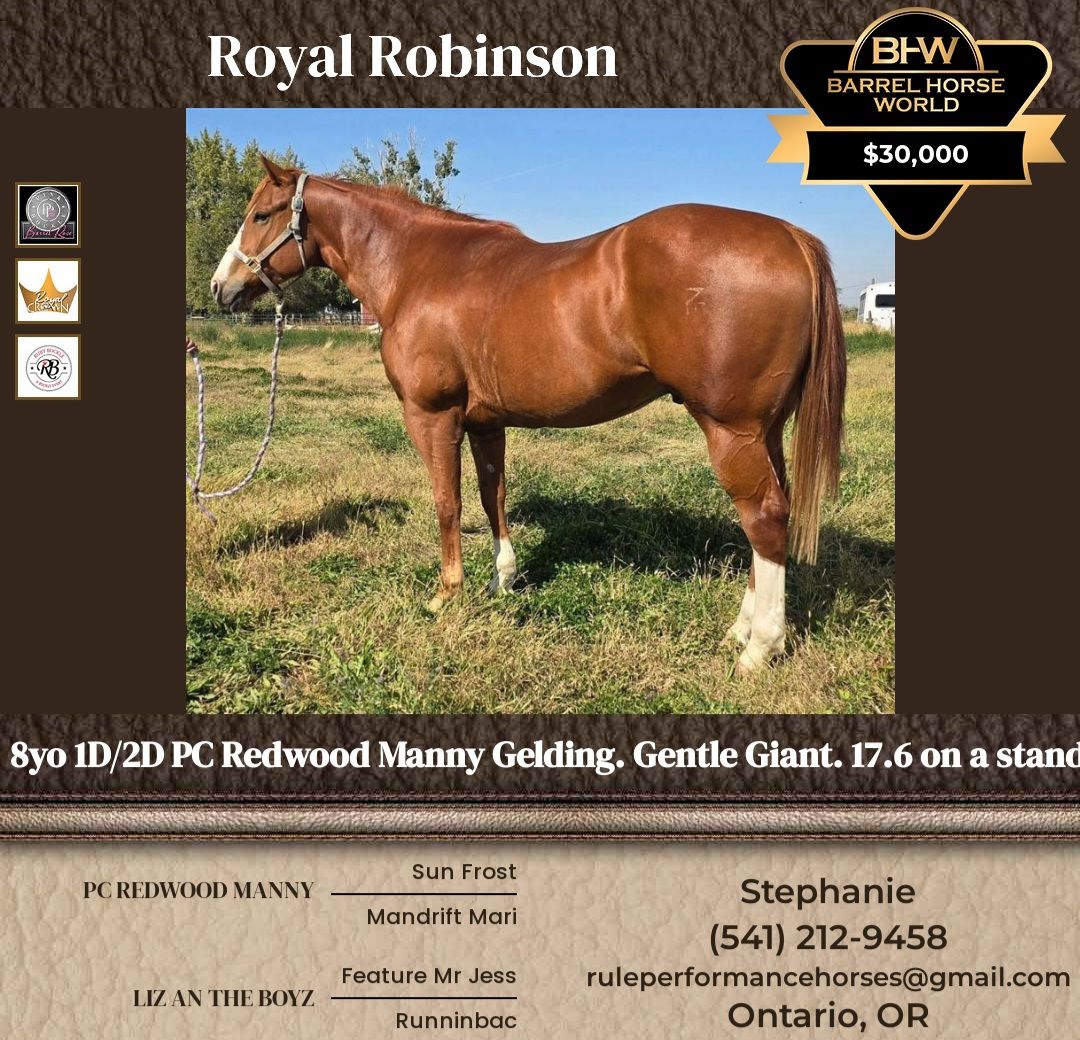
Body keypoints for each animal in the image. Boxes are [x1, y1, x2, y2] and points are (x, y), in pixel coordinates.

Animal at [210, 155, 845, 673]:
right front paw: (503, 579)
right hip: (764, 431)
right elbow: (493, 495)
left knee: (763, 517)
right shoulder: (486, 421)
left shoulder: (432, 416)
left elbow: (448, 501)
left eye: (262, 214)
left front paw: (446, 594)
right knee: (775, 513)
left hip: (731, 430)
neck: (418, 269)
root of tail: (788, 236)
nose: (221, 288)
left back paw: (759, 648)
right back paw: (742, 629)